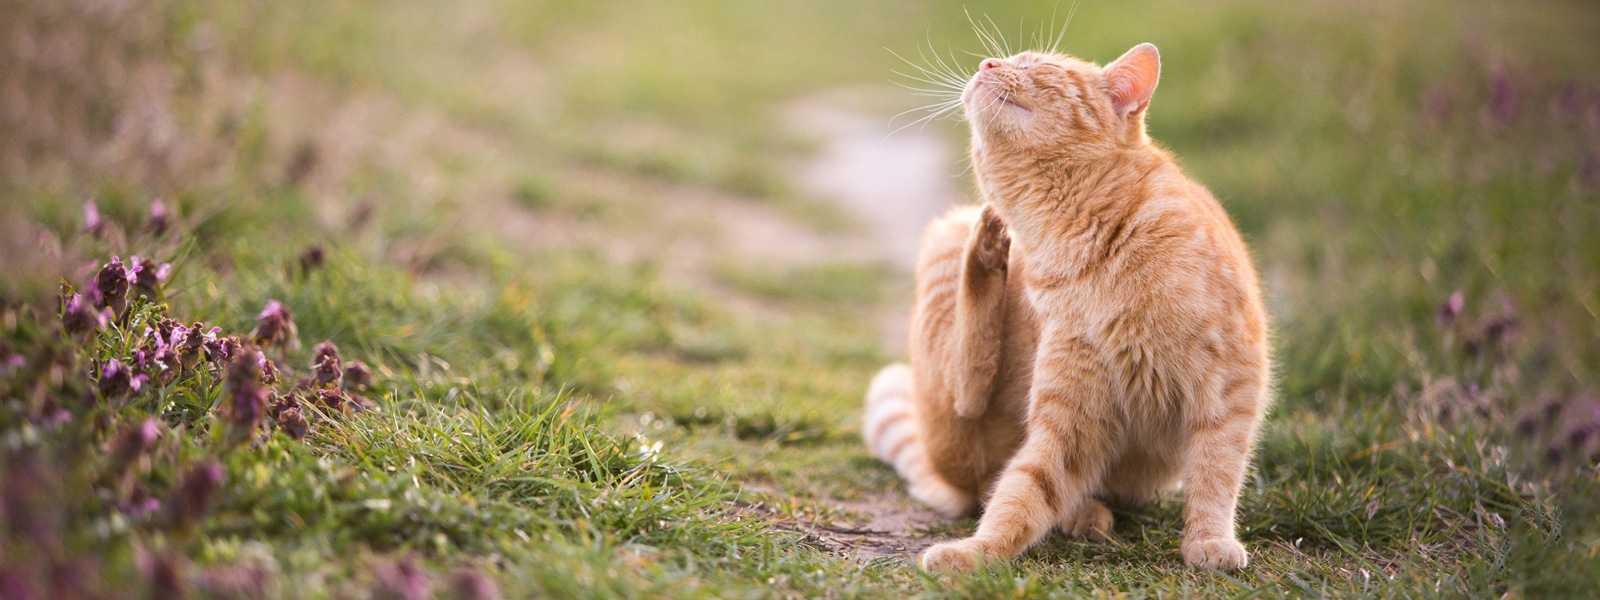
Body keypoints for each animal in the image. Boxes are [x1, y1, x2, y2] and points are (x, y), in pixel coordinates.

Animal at [864, 43, 1273, 572]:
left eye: (1039, 65)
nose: (987, 65)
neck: (1076, 241)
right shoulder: (1068, 415)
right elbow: (1021, 492)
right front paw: (974, 553)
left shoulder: (1229, 387)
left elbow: (1215, 472)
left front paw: (1209, 541)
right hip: (947, 241)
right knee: (968, 401)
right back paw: (988, 251)